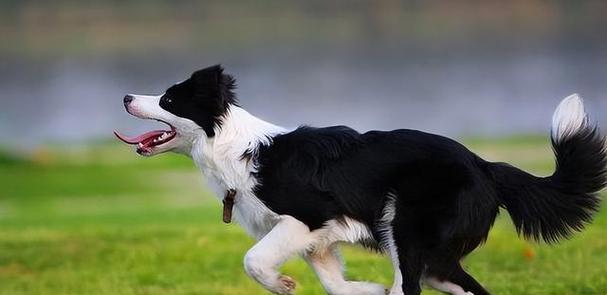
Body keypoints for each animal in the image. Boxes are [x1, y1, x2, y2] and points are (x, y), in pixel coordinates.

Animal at [116, 65, 604, 295]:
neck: (233, 148)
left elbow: (253, 260)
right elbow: (333, 283)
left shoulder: (307, 216)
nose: (125, 96)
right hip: (437, 260)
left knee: (408, 287)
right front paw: (366, 289)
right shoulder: (318, 240)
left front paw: (282, 285)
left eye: (169, 99)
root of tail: (486, 166)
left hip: (406, 232)